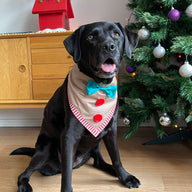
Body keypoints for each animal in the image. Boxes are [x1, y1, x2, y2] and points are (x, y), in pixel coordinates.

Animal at [10, 21, 140, 192]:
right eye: (90, 37)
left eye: (116, 34)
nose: (109, 46)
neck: (98, 86)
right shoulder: (69, 135)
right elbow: (67, 173)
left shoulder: (111, 130)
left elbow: (116, 157)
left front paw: (125, 177)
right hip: (45, 149)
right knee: (24, 173)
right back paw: (24, 185)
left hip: (96, 142)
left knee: (98, 161)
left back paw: (112, 170)